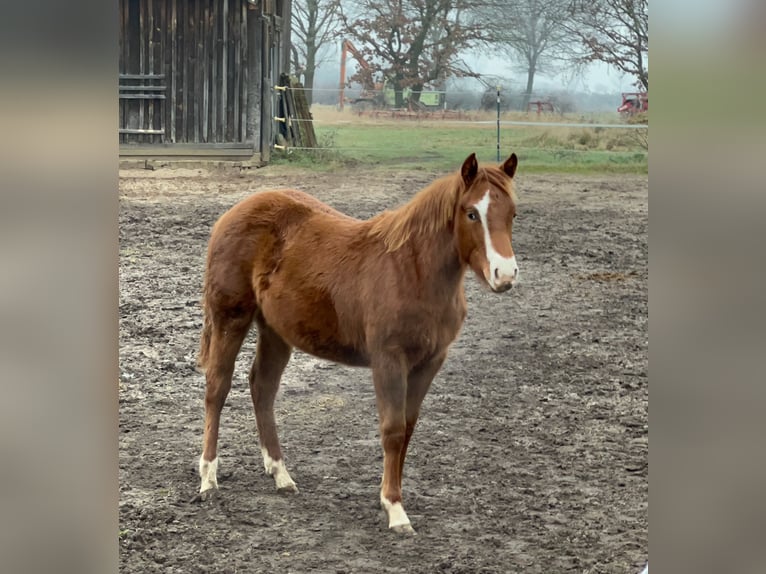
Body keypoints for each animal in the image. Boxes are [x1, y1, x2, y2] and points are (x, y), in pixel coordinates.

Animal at [198, 153, 520, 536]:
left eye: (513, 213)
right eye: (471, 213)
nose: (505, 274)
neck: (413, 271)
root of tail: (232, 213)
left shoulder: (429, 362)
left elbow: (408, 428)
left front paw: (388, 497)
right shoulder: (389, 360)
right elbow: (392, 430)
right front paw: (395, 510)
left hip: (276, 330)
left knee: (262, 387)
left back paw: (280, 473)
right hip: (230, 318)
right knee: (217, 387)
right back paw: (208, 478)